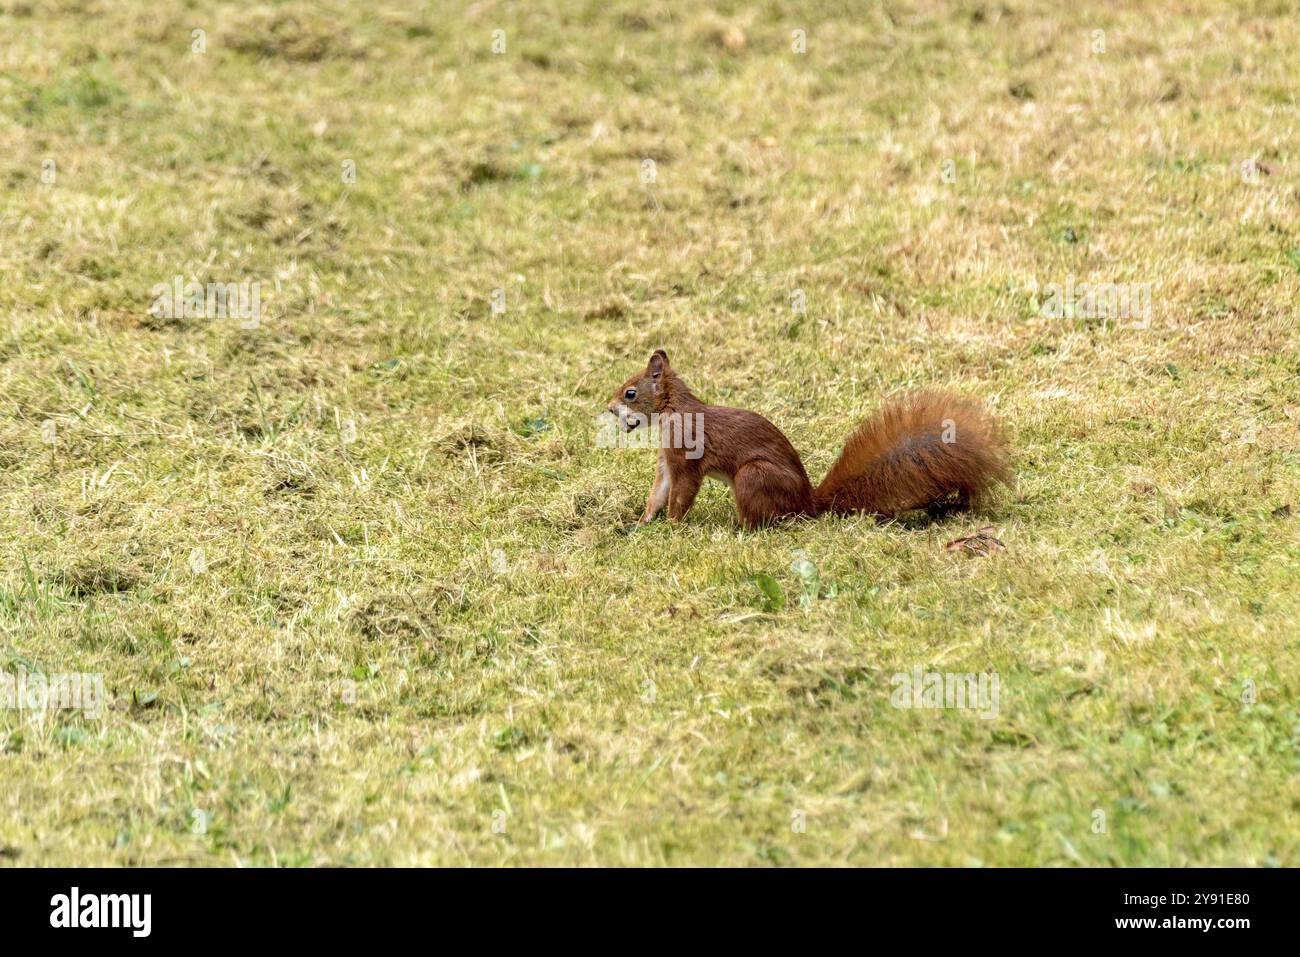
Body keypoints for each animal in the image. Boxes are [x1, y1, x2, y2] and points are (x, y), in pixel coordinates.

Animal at [607, 350, 1010, 530]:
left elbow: (681, 494)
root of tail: (807, 502)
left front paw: (674, 527)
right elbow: (659, 490)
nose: (610, 409)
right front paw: (643, 521)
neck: (671, 409)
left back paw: (739, 528)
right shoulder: (667, 460)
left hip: (754, 476)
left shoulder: (686, 456)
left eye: (630, 393)